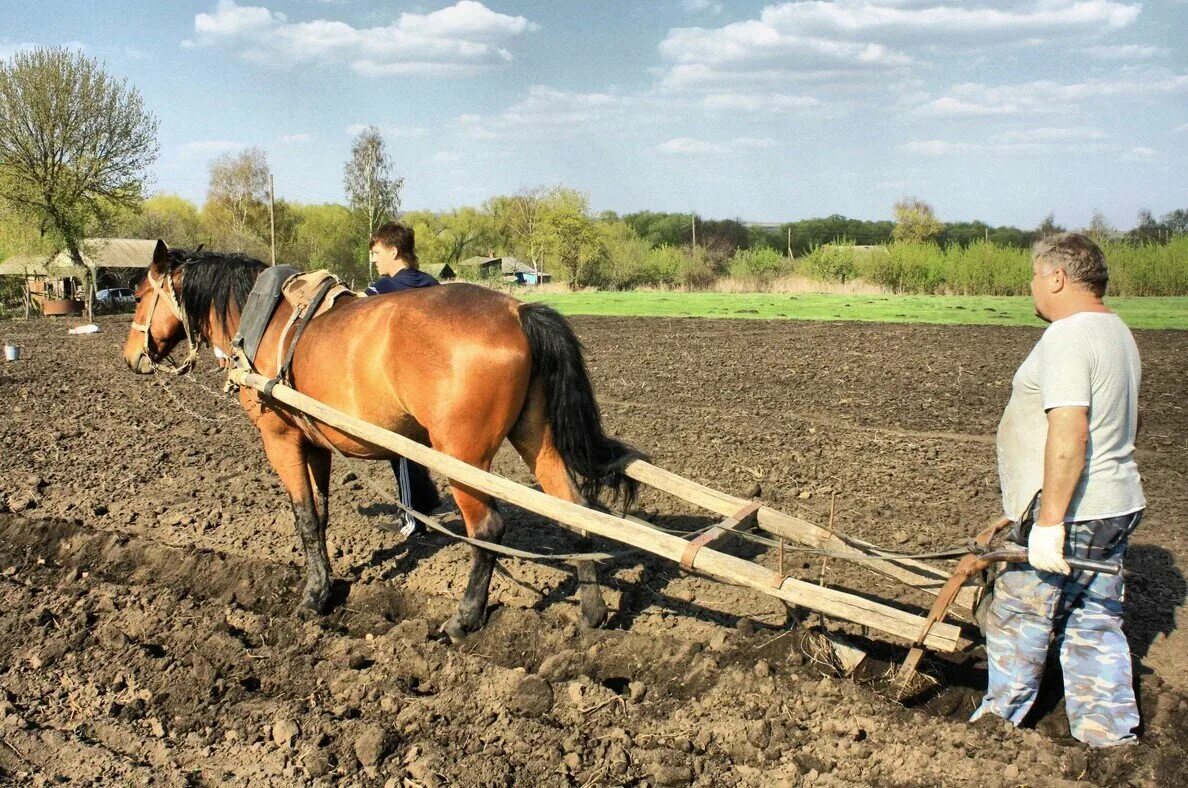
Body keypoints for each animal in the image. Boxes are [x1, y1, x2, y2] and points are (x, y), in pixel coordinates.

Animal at [124, 240, 636, 641]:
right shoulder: (316, 444)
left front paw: (313, 597)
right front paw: (327, 584)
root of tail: (516, 310)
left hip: (461, 457)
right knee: (574, 510)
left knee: (488, 530)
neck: (263, 320)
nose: (131, 357)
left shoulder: (281, 439)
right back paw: (592, 612)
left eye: (139, 293)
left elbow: (303, 518)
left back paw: (464, 619)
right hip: (534, 437)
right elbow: (321, 515)